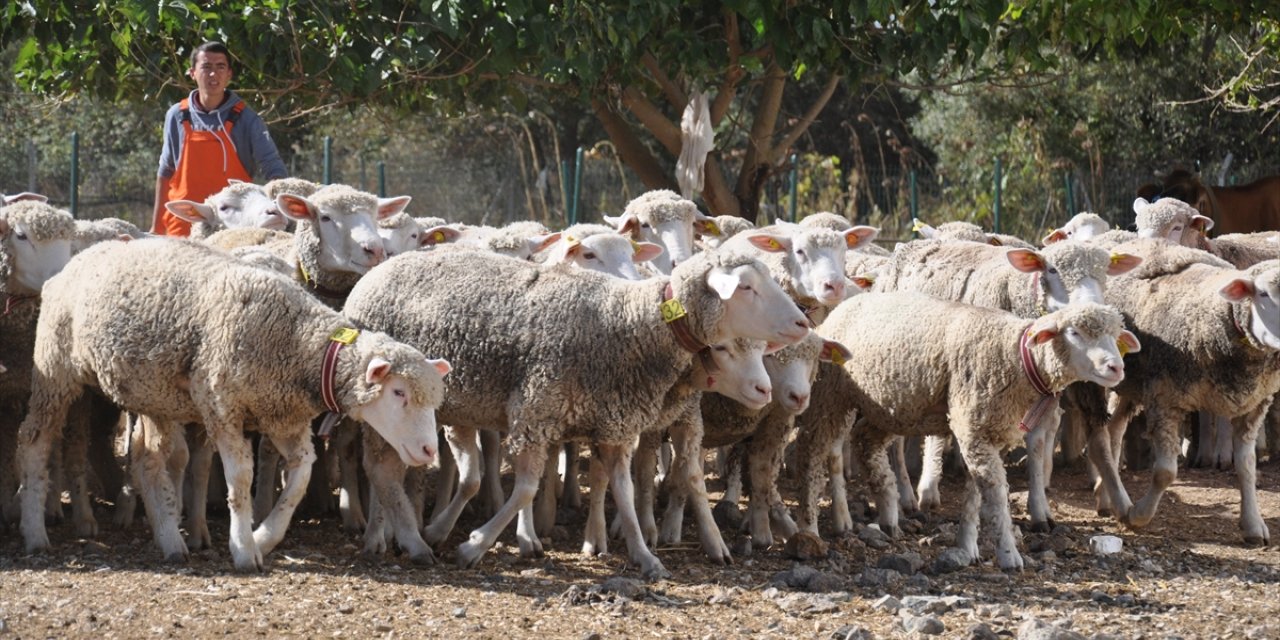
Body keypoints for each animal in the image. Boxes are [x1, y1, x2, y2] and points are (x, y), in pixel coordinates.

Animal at [17, 238, 453, 568]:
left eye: (433, 400)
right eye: (398, 393)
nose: (428, 450)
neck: (301, 347)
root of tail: (76, 260)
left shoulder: (284, 417)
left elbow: (301, 476)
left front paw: (264, 537)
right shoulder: (222, 406)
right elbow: (241, 478)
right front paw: (244, 549)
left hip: (154, 395)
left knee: (148, 461)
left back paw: (169, 540)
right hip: (55, 368)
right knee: (35, 440)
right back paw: (35, 532)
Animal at [345, 244, 803, 576]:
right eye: (746, 288)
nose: (802, 323)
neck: (633, 324)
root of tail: (379, 270)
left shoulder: (615, 426)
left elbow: (624, 491)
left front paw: (645, 556)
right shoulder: (535, 411)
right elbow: (526, 489)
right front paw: (474, 545)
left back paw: (419, 532)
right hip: (386, 406)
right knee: (381, 469)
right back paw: (395, 538)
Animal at [803, 294, 1136, 570]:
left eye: (1114, 336)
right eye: (1074, 332)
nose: (1117, 368)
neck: (1014, 358)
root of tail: (848, 302)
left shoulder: (987, 432)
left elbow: (975, 493)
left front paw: (967, 545)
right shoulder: (974, 427)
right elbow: (996, 495)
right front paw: (1009, 555)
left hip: (892, 408)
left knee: (866, 443)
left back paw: (888, 515)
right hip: (831, 396)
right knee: (816, 456)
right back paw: (812, 529)